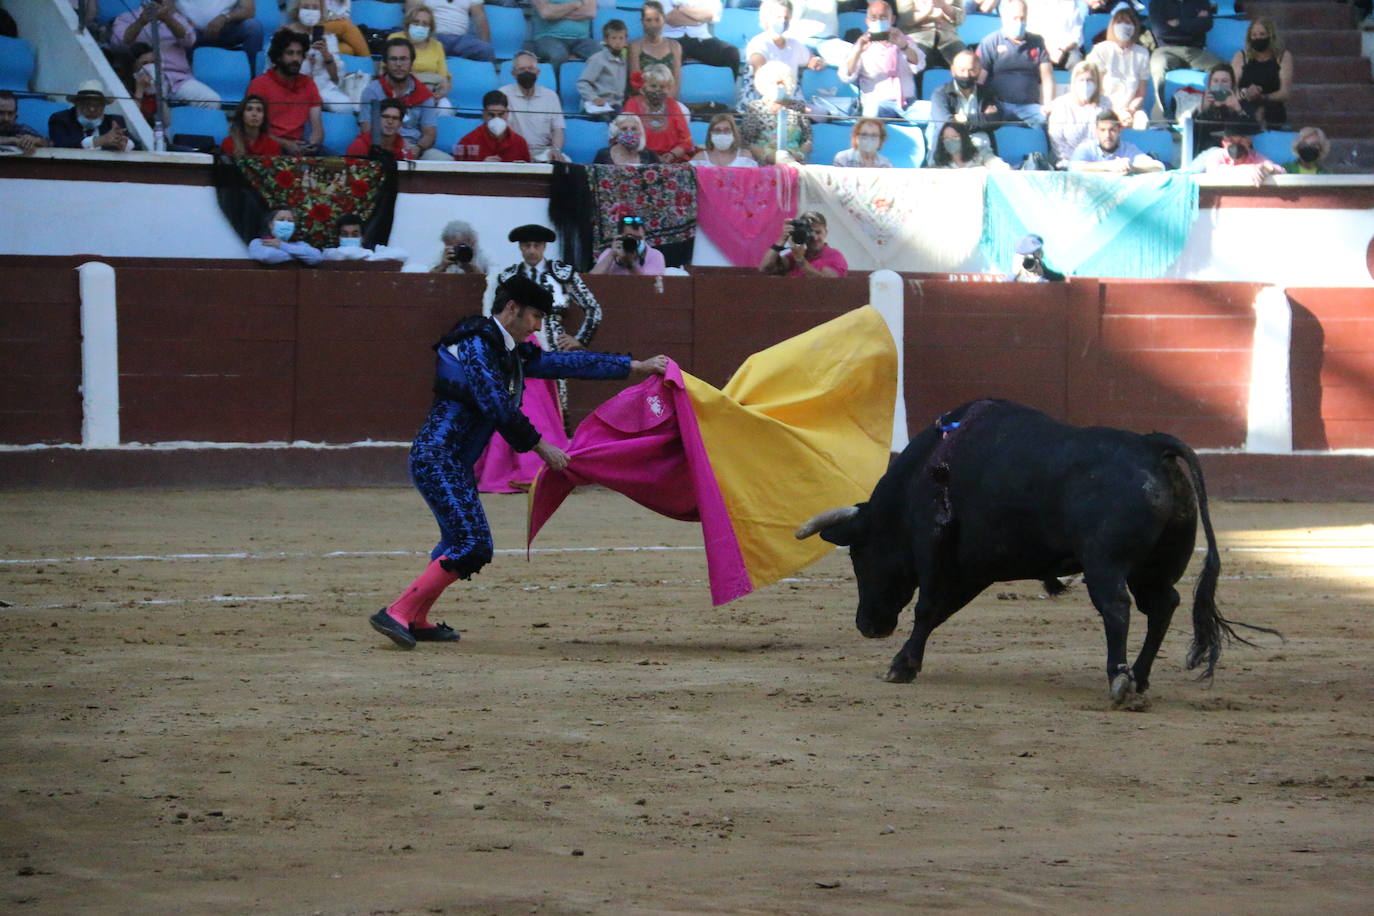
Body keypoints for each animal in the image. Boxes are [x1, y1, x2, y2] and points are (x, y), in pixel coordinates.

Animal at [796, 398, 1275, 708]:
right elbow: (941, 610)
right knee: (1163, 605)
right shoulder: (976, 567)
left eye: (859, 555)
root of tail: (1151, 445)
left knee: (1117, 606)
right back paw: (1138, 678)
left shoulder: (933, 547)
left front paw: (901, 665)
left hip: (1105, 563)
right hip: (1156, 567)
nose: (867, 626)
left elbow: (927, 607)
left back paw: (1119, 681)